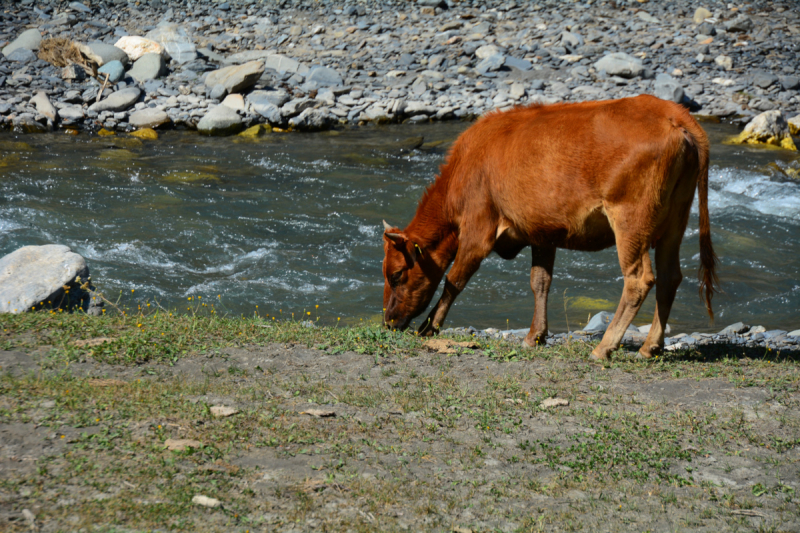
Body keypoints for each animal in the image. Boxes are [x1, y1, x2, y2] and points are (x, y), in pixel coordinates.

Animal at [382, 95, 720, 362]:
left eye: (396, 274)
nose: (388, 321)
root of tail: (674, 114)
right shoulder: (542, 232)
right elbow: (540, 282)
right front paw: (535, 336)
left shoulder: (478, 229)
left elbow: (454, 281)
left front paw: (429, 327)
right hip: (675, 220)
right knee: (670, 277)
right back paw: (650, 347)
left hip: (631, 219)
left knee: (639, 279)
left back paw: (604, 347)